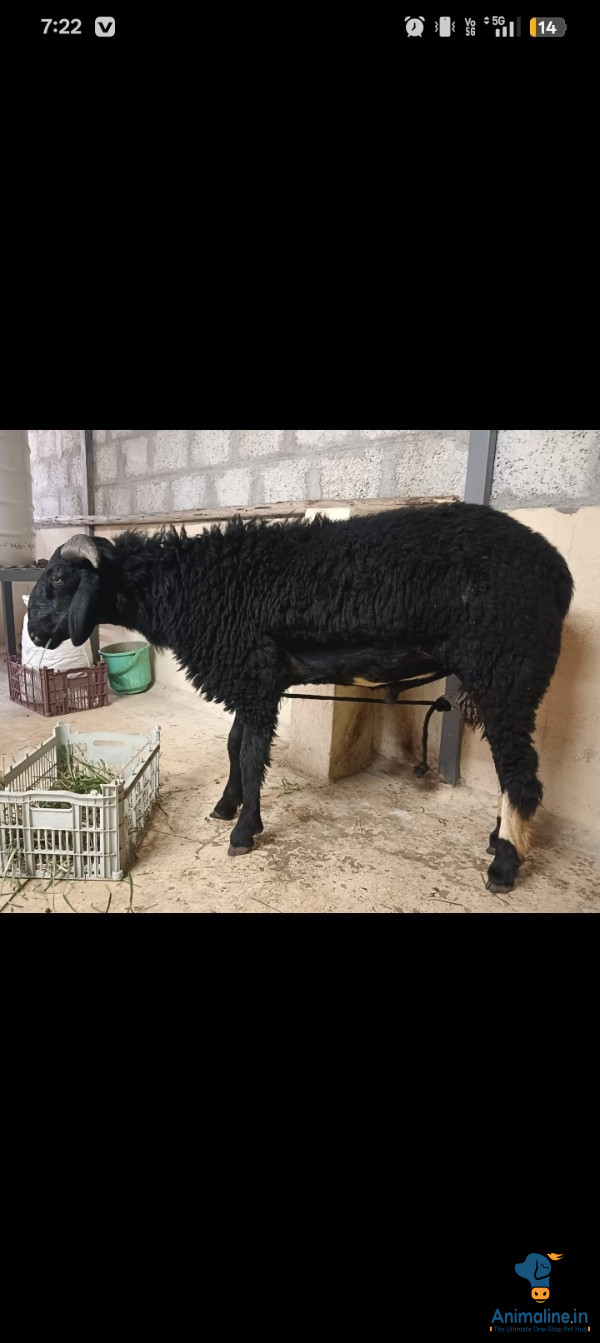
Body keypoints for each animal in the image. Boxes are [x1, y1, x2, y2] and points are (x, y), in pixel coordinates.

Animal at [26, 503, 574, 892]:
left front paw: (243, 833)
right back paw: (499, 840)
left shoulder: (253, 673)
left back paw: (504, 866)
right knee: (512, 769)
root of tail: (559, 573)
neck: (189, 587)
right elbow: (234, 746)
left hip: (506, 671)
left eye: (60, 578)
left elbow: (251, 757)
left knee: (521, 775)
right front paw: (226, 806)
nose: (33, 631)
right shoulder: (250, 677)